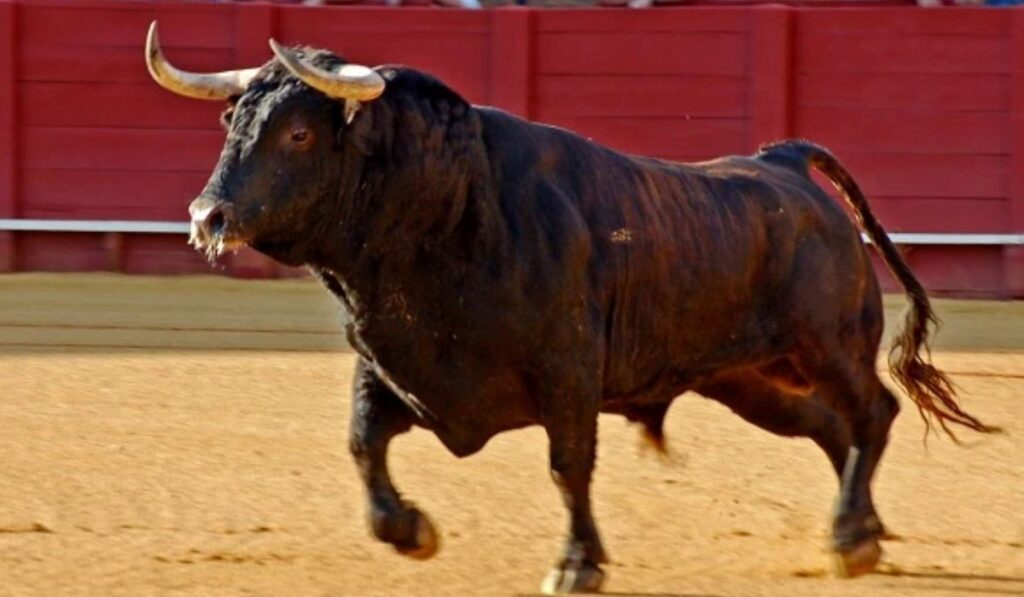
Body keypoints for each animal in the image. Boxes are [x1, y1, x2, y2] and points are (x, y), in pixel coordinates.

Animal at [144, 22, 995, 594]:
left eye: (296, 132)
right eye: (232, 123)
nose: (206, 216)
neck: (446, 204)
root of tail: (780, 161)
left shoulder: (567, 373)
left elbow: (568, 466)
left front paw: (578, 564)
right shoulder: (389, 361)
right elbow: (361, 443)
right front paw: (411, 532)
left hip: (828, 346)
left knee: (873, 412)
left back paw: (852, 538)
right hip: (749, 379)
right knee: (830, 427)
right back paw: (862, 531)